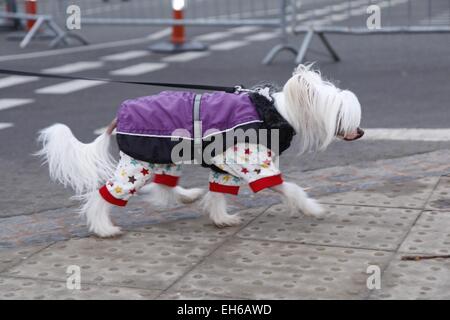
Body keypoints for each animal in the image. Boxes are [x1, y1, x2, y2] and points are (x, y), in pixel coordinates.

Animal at [37, 64, 364, 238]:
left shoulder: (226, 168)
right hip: (135, 166)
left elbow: (219, 193)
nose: (360, 132)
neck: (275, 111)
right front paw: (312, 208)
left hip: (160, 157)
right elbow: (291, 189)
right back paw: (104, 227)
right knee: (105, 195)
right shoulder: (255, 166)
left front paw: (221, 219)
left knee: (164, 186)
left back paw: (188, 196)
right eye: (340, 114)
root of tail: (120, 114)